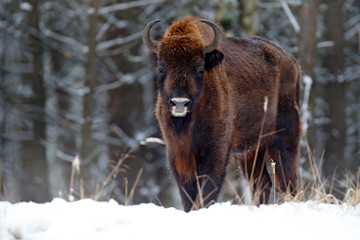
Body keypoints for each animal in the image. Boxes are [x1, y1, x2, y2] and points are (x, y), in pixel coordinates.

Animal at [142, 17, 300, 212]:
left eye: (200, 68)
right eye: (161, 68)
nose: (179, 102)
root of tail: (292, 61)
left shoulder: (216, 151)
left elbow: (207, 188)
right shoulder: (177, 152)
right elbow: (188, 193)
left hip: (284, 139)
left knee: (287, 182)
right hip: (251, 151)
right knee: (262, 183)